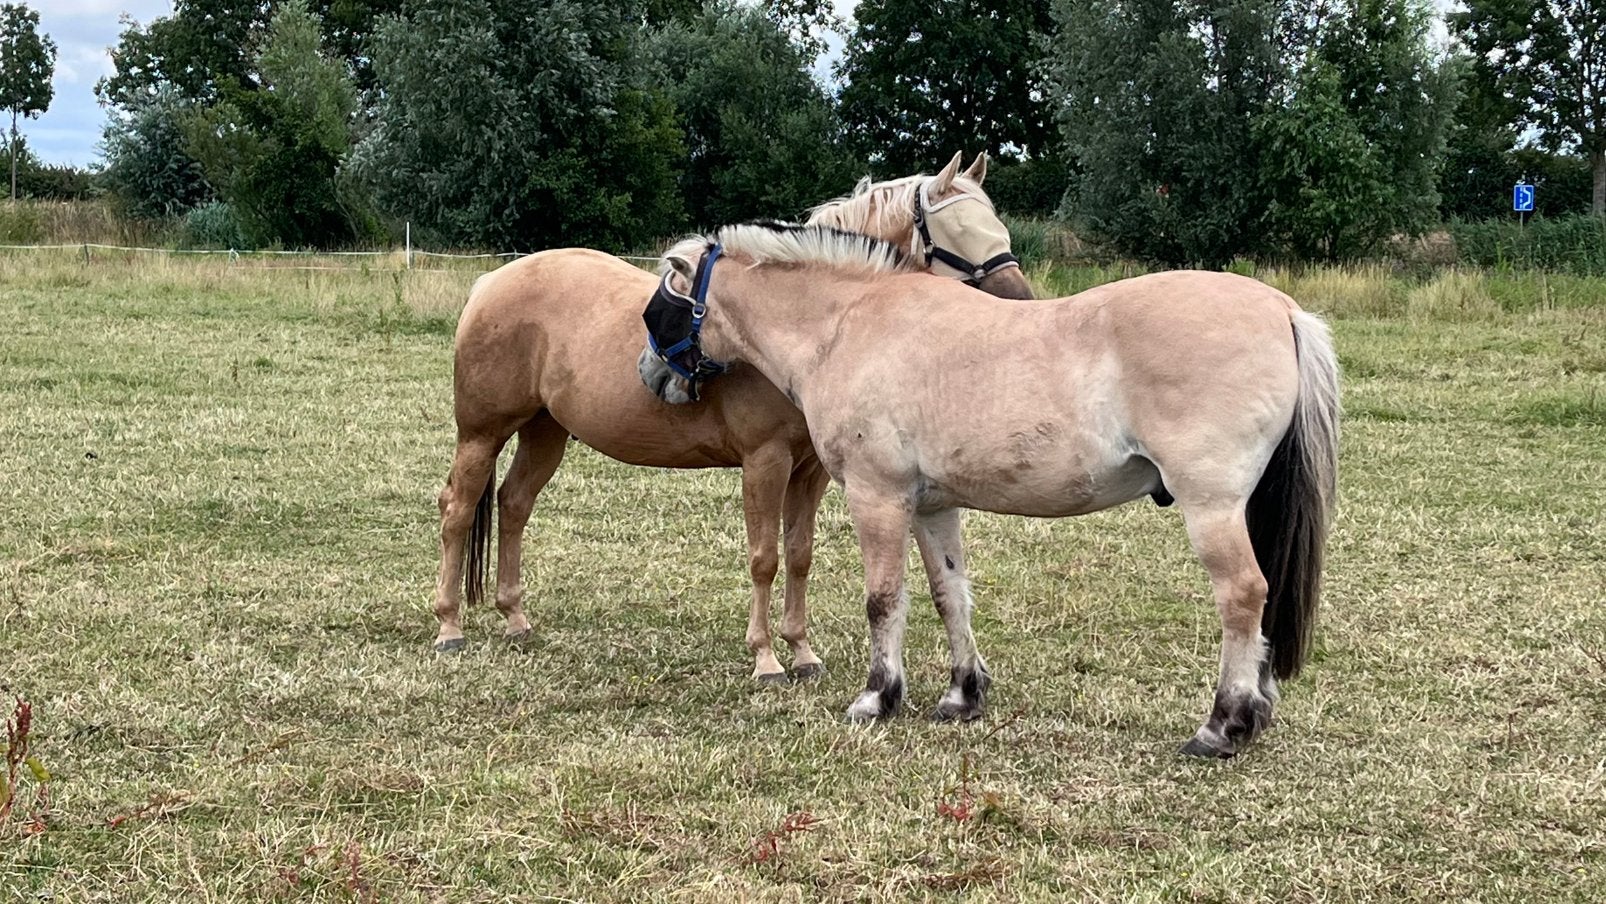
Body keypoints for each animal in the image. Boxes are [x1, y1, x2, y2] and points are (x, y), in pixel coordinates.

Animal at [432, 152, 1035, 686]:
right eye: (958, 232)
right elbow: (764, 558)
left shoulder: (810, 472)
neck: (807, 330)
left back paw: (514, 617)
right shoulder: (764, 462)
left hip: (545, 431)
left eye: (997, 226)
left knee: (513, 505)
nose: (1021, 302)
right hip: (482, 433)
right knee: (458, 509)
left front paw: (802, 652)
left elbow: (799, 555)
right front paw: (766, 659)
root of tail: (491, 283)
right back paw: (449, 626)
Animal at [638, 223, 1339, 758]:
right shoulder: (932, 506)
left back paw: (1222, 725)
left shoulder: (877, 496)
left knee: (1243, 596)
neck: (848, 326)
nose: (650, 375)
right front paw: (961, 694)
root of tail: (1282, 310)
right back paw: (1256, 709)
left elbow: (883, 600)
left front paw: (877, 697)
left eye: (660, 304)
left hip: (1212, 507)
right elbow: (950, 595)